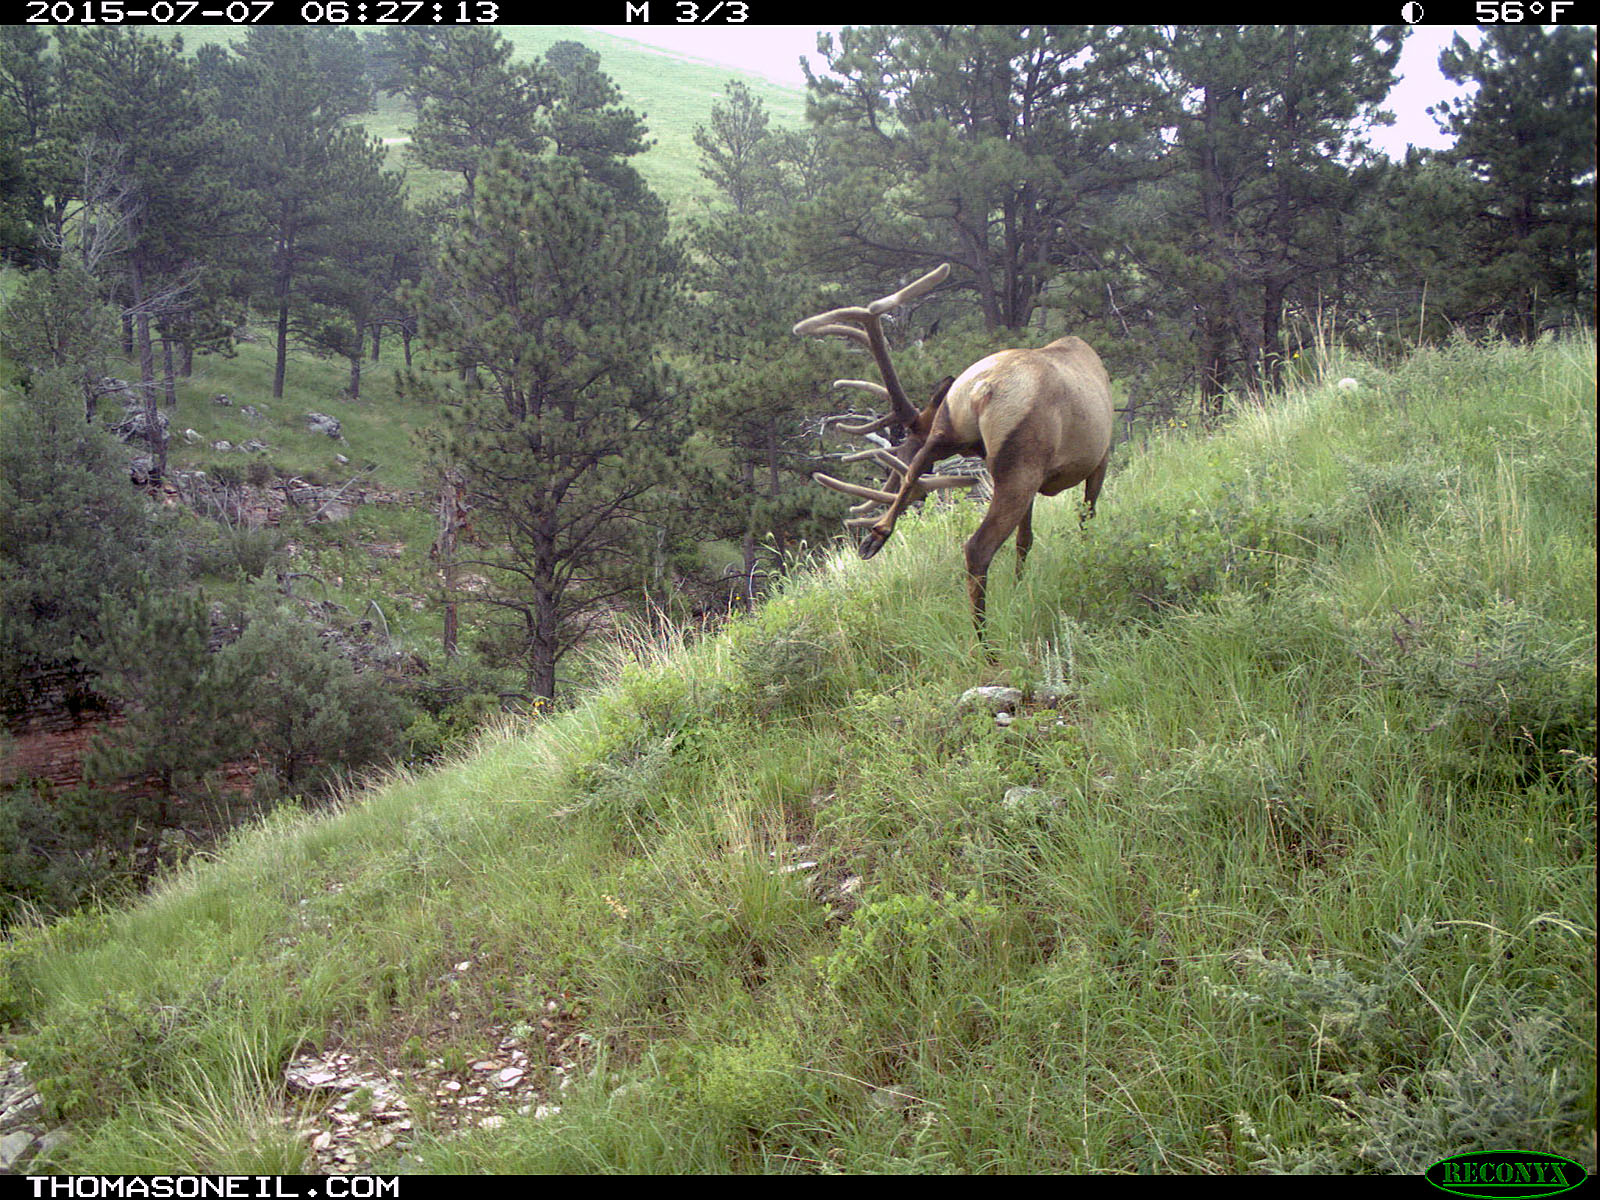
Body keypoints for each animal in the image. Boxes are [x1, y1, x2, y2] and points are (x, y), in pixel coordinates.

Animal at [800, 264, 1113, 640]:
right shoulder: (1101, 458)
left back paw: (876, 536)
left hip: (952, 433)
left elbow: (1025, 539)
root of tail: (981, 390)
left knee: (915, 468)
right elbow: (1085, 520)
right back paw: (983, 640)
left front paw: (1020, 587)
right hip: (1020, 465)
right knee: (976, 547)